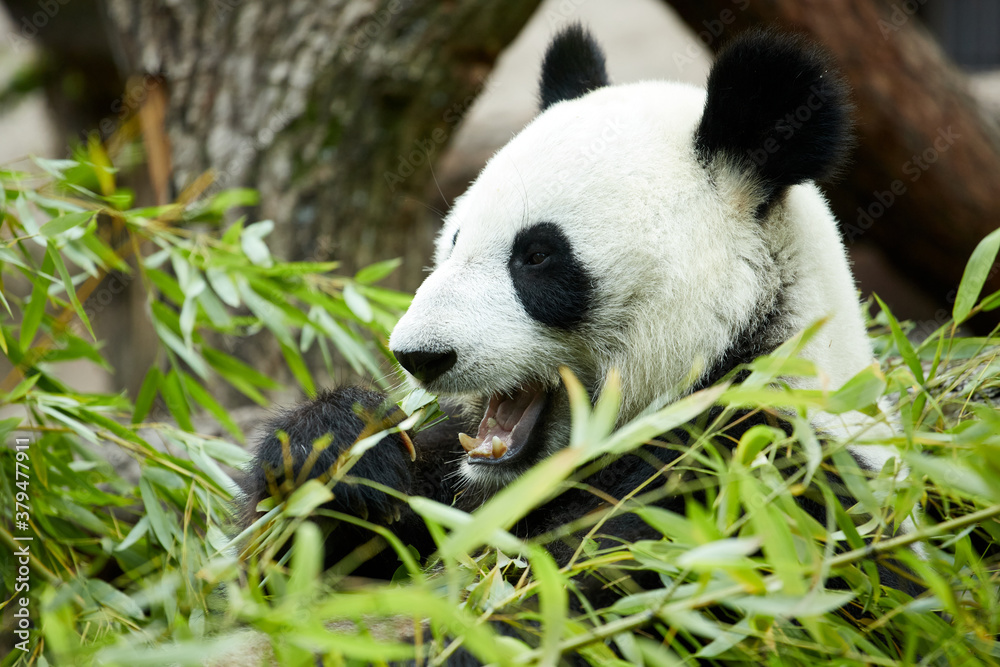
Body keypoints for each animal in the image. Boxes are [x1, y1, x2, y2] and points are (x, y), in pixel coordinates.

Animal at [239, 24, 921, 610]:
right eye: (454, 240)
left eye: (537, 256)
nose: (419, 356)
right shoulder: (458, 476)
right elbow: (284, 577)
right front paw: (338, 447)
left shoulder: (758, 477)